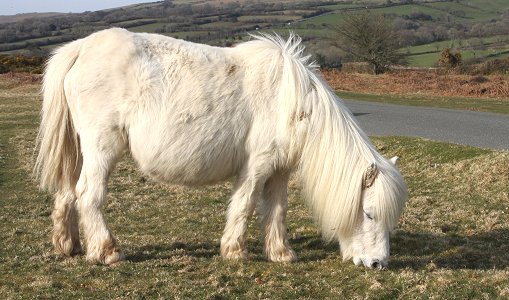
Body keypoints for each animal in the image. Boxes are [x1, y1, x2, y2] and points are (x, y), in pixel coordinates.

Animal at [34, 27, 404, 268]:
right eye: (369, 213)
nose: (378, 264)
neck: (290, 101)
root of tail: (81, 48)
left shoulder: (280, 171)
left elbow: (276, 210)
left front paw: (280, 253)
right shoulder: (257, 166)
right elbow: (245, 204)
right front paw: (235, 251)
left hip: (81, 150)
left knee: (68, 193)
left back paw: (69, 246)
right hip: (102, 148)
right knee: (88, 194)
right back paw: (107, 251)